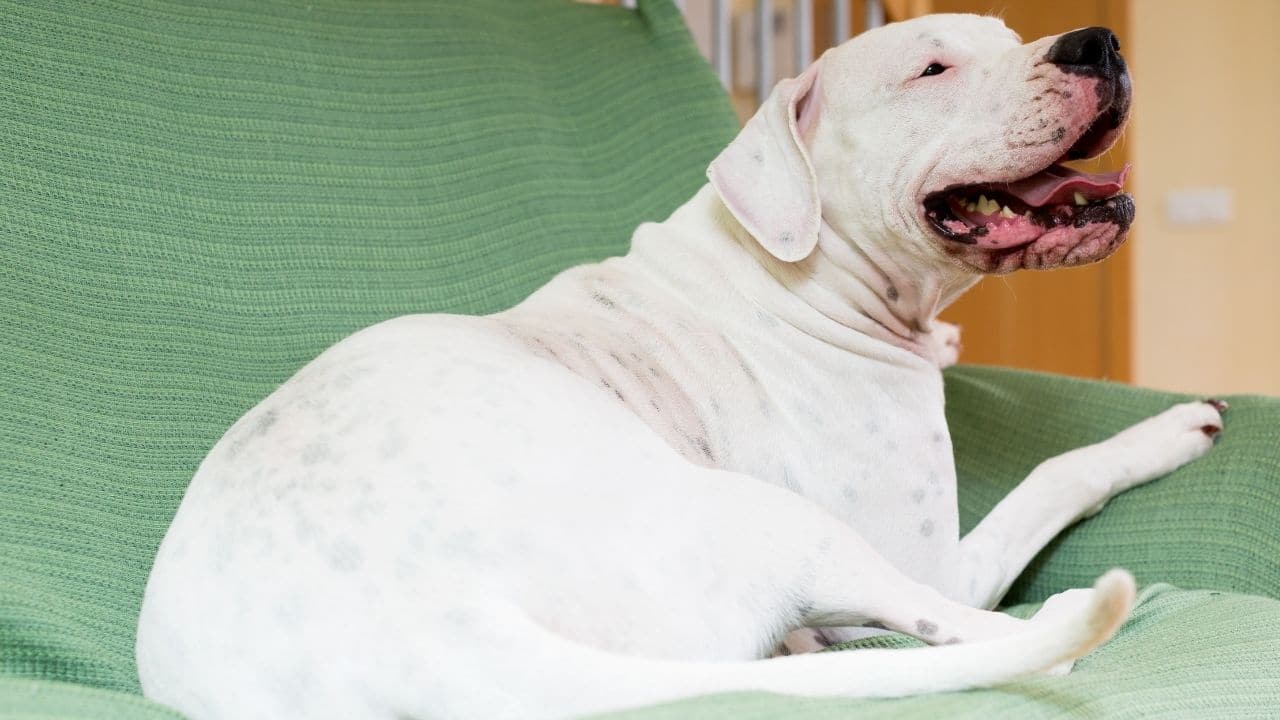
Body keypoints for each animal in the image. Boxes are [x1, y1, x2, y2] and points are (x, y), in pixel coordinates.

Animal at [135, 15, 1223, 717]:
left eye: (1008, 34)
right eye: (931, 69)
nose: (1095, 42)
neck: (800, 270)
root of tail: (436, 640)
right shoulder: (935, 554)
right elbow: (1055, 474)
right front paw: (1167, 428)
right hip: (782, 526)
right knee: (957, 628)